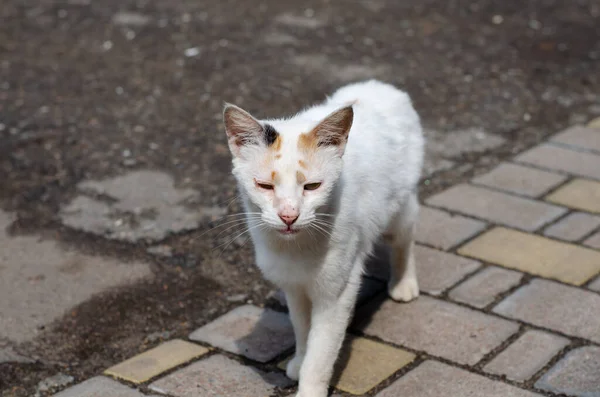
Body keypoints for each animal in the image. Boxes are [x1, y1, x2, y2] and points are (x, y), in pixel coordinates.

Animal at [223, 79, 424, 396]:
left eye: (312, 186)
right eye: (265, 186)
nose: (289, 215)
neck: (295, 248)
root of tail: (378, 85)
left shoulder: (336, 294)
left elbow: (321, 351)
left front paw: (309, 387)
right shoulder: (293, 287)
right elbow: (302, 328)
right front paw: (299, 361)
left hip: (400, 210)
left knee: (405, 238)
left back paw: (404, 283)